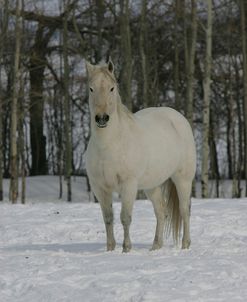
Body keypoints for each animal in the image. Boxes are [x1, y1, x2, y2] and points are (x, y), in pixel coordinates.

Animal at [85, 59, 197, 252]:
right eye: (91, 88)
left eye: (112, 88)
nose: (102, 118)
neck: (109, 146)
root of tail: (179, 118)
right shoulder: (100, 188)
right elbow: (108, 219)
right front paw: (110, 249)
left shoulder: (128, 185)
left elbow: (125, 218)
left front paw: (126, 249)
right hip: (152, 185)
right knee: (161, 211)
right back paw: (156, 246)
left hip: (183, 180)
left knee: (184, 210)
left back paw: (185, 245)